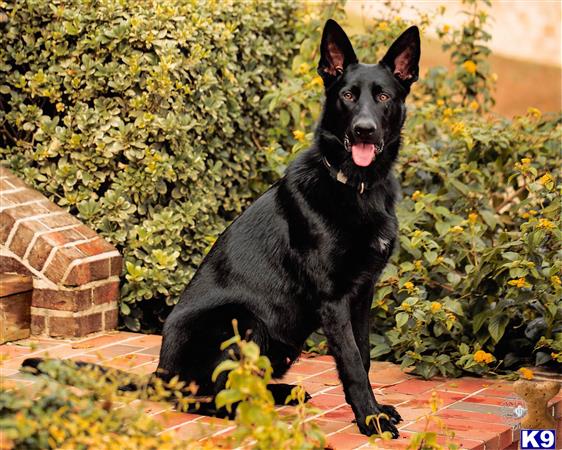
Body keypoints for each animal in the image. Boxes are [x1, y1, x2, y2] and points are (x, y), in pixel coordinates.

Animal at [24, 22, 418, 440]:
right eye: (347, 95)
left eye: (383, 96)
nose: (364, 131)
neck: (355, 187)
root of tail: (161, 375)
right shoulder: (333, 299)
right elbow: (353, 364)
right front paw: (371, 420)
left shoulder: (362, 293)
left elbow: (364, 355)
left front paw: (373, 411)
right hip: (244, 321)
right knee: (202, 396)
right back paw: (242, 407)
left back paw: (278, 393)